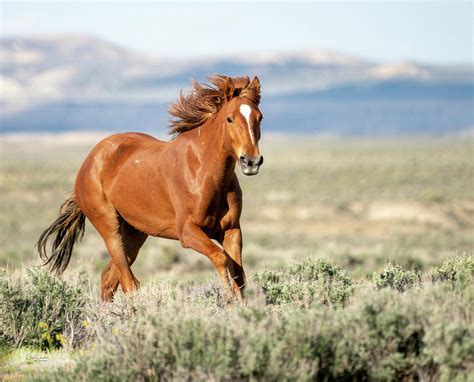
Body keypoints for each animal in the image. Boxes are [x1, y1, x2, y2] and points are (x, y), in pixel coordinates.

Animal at [36, 74, 266, 302]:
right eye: (229, 118)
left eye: (260, 117)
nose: (251, 161)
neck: (205, 172)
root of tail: (90, 160)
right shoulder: (188, 232)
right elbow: (221, 258)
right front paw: (229, 302)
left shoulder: (231, 230)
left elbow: (238, 273)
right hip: (110, 230)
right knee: (128, 283)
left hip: (134, 234)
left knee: (109, 278)